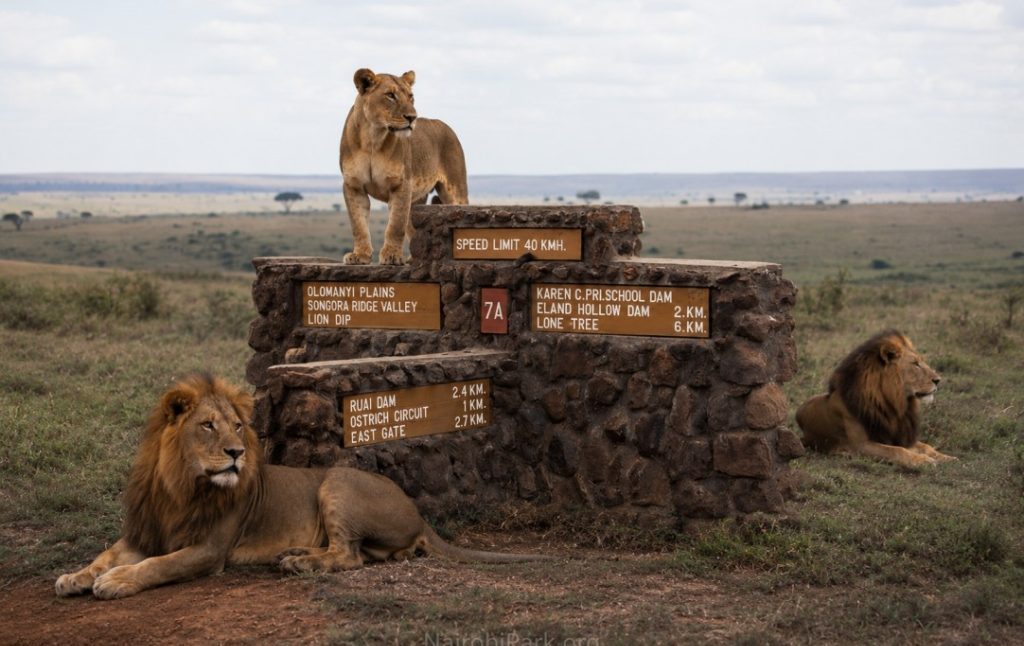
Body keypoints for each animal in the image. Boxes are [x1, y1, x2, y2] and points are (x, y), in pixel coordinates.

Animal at [55, 374, 544, 600]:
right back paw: (293, 554)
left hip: (337, 481)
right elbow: (106, 555)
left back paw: (298, 563)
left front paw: (117, 582)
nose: (237, 453)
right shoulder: (145, 531)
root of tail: (420, 514)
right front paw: (74, 577)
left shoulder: (209, 549)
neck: (180, 484)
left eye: (237, 426)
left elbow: (160, 565)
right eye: (208, 425)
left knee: (348, 557)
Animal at [339, 68, 468, 265]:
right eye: (390, 95)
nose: (412, 117)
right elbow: (358, 225)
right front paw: (359, 255)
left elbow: (395, 225)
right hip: (416, 200)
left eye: (410, 96)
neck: (372, 138)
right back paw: (414, 258)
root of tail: (445, 125)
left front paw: (392, 256)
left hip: (455, 190)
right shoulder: (353, 186)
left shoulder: (400, 185)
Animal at [796, 329, 955, 468]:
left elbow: (926, 446)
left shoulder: (899, 436)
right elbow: (896, 450)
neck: (894, 406)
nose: (938, 380)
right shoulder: (861, 444)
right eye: (915, 364)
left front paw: (947, 458)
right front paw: (923, 460)